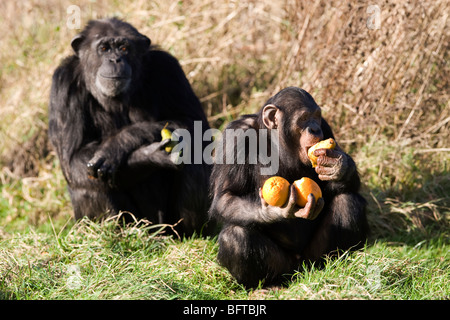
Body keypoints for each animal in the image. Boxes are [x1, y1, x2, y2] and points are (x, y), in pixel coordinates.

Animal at [48, 18, 211, 236]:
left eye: (124, 48)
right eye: (104, 48)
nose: (115, 59)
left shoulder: (169, 68)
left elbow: (195, 123)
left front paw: (118, 145)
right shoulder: (63, 85)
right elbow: (73, 158)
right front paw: (147, 156)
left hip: (169, 223)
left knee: (193, 151)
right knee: (89, 179)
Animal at [209, 86, 368, 286]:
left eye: (316, 117)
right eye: (304, 118)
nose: (314, 128)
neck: (275, 140)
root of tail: (300, 269)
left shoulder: (326, 128)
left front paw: (340, 166)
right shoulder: (235, 136)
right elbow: (226, 196)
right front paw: (273, 211)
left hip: (312, 258)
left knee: (348, 202)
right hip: (284, 267)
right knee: (235, 237)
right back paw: (268, 285)